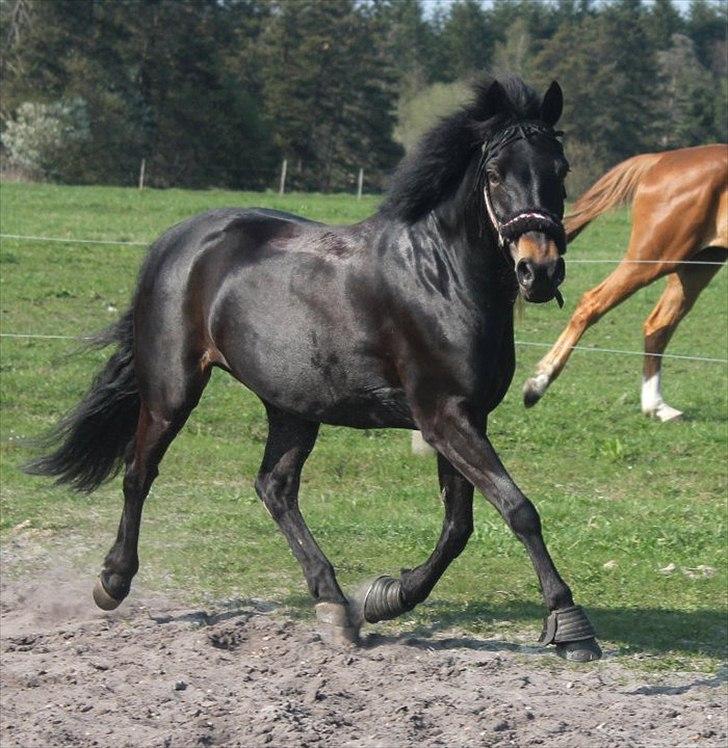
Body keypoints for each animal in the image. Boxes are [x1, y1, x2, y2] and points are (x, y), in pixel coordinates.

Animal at [25, 76, 604, 660]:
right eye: (495, 172)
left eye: (560, 169)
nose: (539, 270)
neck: (441, 277)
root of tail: (176, 241)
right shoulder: (443, 416)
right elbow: (517, 509)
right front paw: (569, 625)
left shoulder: (464, 417)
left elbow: (458, 526)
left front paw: (387, 597)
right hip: (173, 390)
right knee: (139, 471)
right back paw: (113, 582)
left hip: (291, 404)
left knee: (274, 488)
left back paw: (334, 604)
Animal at [528, 143, 724, 418]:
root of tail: (660, 159)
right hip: (654, 258)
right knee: (593, 303)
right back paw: (537, 385)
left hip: (699, 264)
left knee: (659, 323)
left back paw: (657, 407)